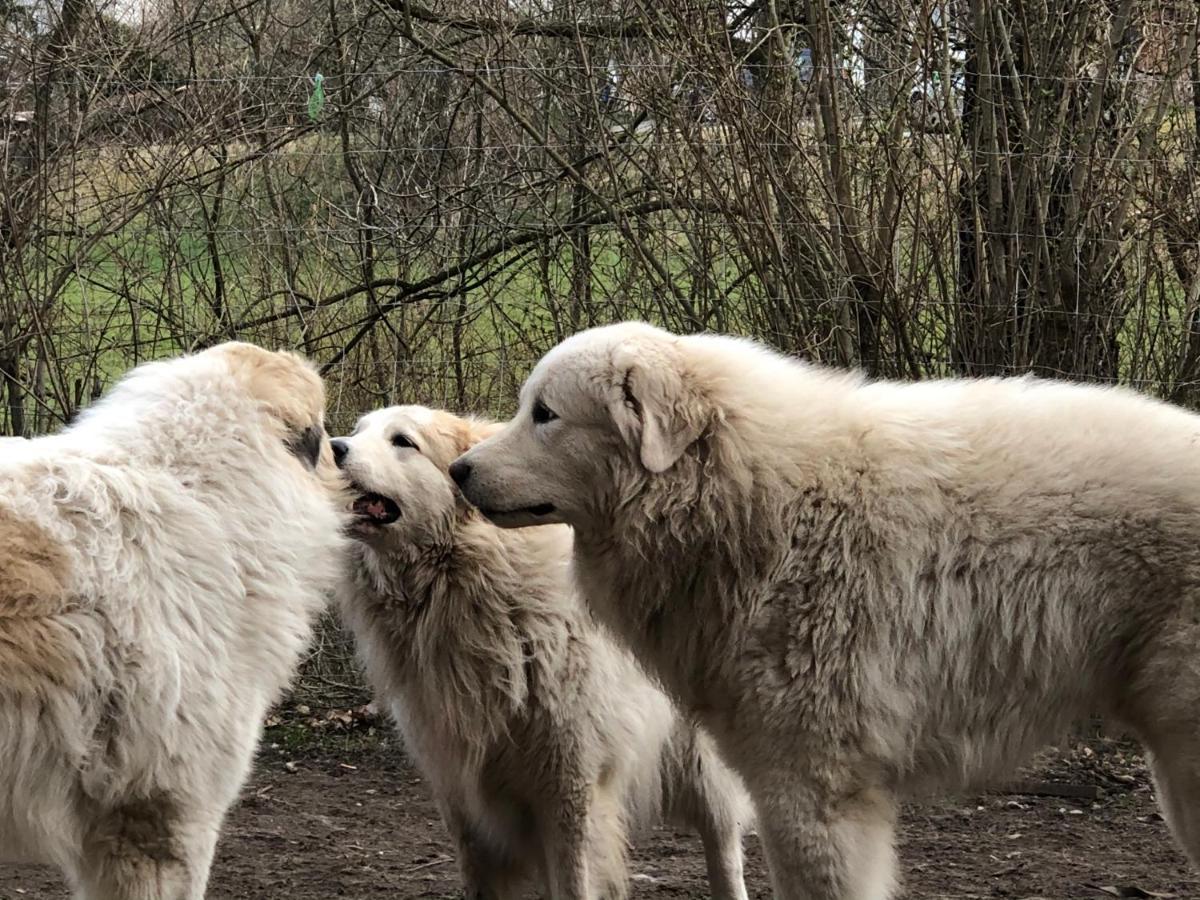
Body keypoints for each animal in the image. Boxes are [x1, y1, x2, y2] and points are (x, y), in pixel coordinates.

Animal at [333, 408, 753, 900]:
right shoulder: (461, 795)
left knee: (723, 843)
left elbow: (574, 881)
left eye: (402, 442)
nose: (333, 447)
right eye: (358, 432)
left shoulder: (567, 788)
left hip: (704, 763)